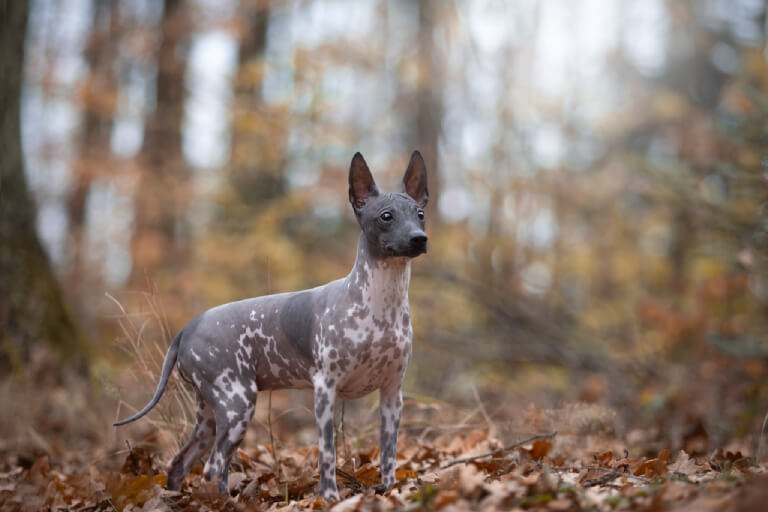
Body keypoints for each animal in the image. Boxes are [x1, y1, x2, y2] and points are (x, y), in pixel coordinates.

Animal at [114, 151, 428, 500]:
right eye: (386, 216)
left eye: (420, 214)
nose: (419, 239)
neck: (380, 303)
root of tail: (187, 328)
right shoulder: (325, 391)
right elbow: (328, 453)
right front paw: (329, 498)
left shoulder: (392, 395)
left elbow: (389, 454)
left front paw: (391, 491)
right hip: (237, 403)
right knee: (213, 466)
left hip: (210, 414)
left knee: (180, 464)